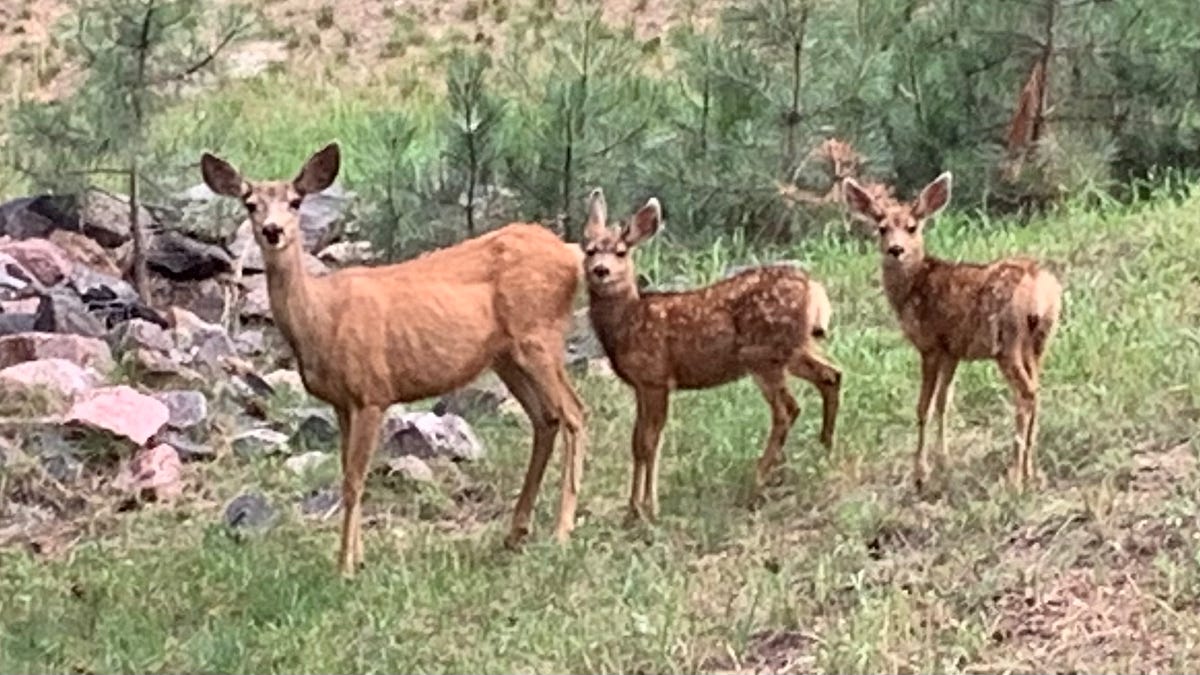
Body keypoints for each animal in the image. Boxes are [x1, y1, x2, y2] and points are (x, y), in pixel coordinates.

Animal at [200, 143, 588, 576]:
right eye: (250, 203)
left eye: (296, 202)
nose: (272, 230)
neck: (322, 318)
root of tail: (571, 253)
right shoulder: (341, 402)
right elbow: (346, 473)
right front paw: (358, 557)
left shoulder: (372, 392)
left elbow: (354, 480)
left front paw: (345, 567)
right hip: (507, 357)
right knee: (546, 419)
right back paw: (516, 532)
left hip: (539, 337)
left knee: (575, 413)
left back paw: (562, 530)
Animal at [580, 188, 842, 521]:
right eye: (588, 250)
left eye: (621, 252)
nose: (600, 270)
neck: (628, 321)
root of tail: (814, 289)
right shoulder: (641, 384)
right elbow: (636, 442)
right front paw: (632, 511)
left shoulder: (655, 377)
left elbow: (650, 441)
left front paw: (649, 509)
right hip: (794, 348)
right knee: (831, 375)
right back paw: (823, 449)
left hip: (762, 354)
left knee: (788, 409)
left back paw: (758, 478)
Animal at [842, 172, 1062, 492]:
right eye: (881, 228)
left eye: (912, 227)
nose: (896, 250)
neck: (911, 289)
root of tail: (1040, 288)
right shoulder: (953, 350)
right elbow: (944, 402)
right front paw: (943, 462)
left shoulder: (930, 345)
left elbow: (923, 406)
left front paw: (920, 474)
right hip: (1039, 342)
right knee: (1038, 390)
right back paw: (1032, 472)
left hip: (1006, 341)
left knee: (1027, 393)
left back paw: (1015, 476)